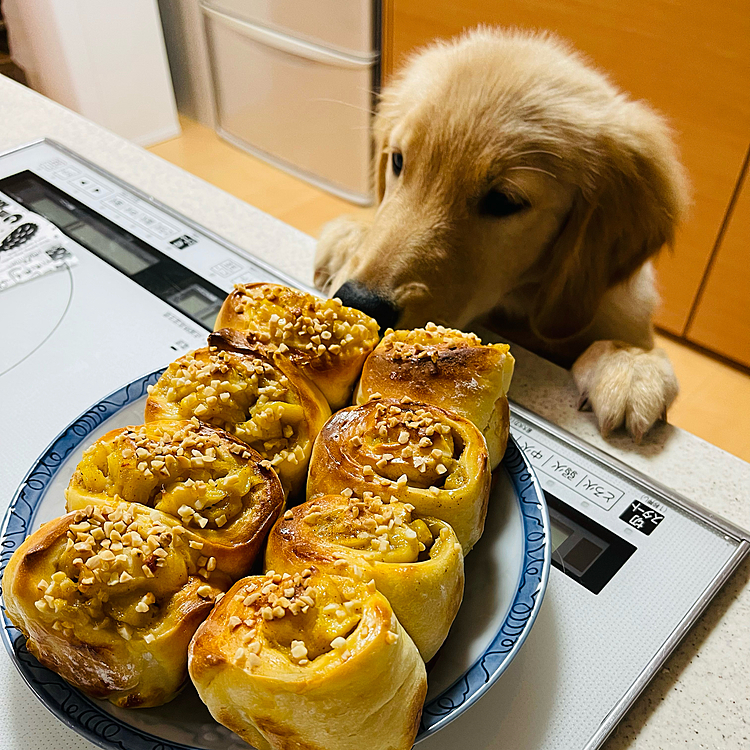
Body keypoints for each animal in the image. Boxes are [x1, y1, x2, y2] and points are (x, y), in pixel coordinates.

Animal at [314, 26, 692, 444]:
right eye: (398, 160)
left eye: (503, 201)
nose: (361, 302)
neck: (517, 306)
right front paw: (350, 237)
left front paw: (630, 363)